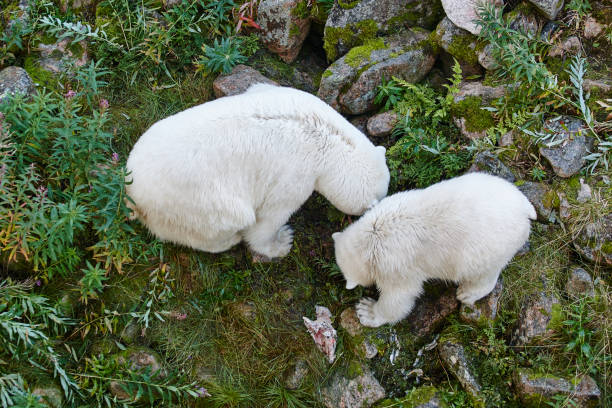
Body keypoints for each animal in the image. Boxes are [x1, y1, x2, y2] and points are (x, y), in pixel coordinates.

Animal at [126, 84, 390, 258]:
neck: (326, 135)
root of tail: (134, 194)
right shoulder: (297, 174)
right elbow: (270, 217)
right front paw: (282, 242)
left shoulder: (288, 92)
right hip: (196, 204)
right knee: (221, 222)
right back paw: (229, 240)